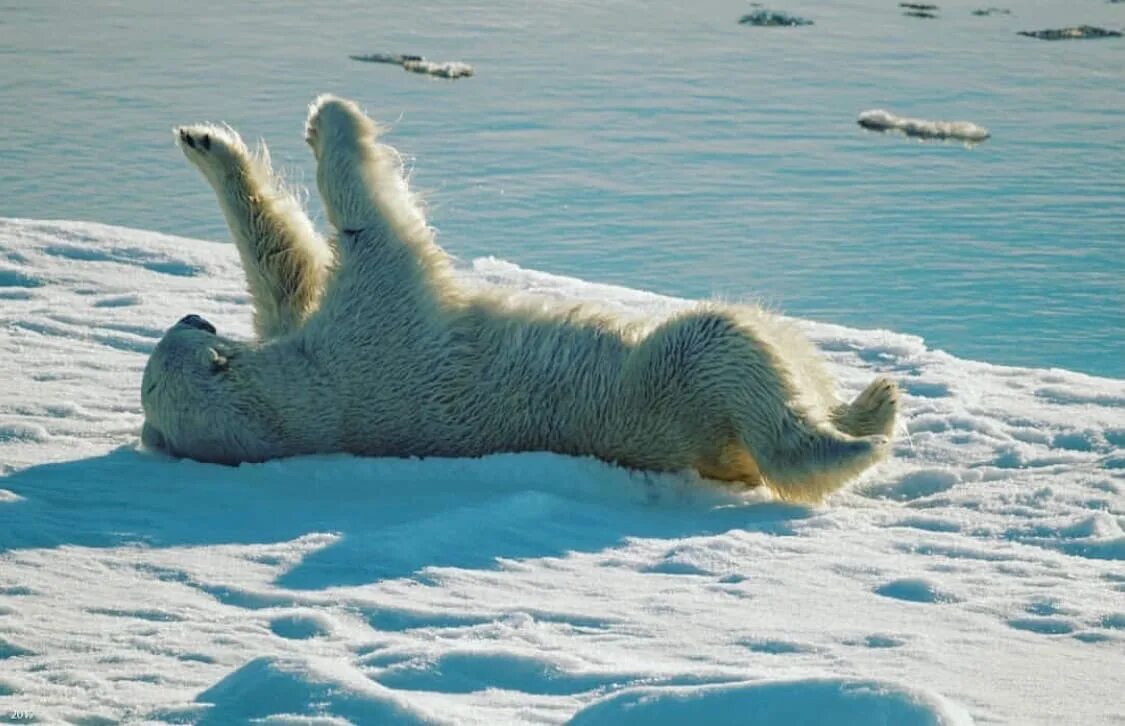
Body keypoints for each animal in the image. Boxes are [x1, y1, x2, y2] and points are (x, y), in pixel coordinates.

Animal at [140, 93, 895, 502]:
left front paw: (207, 143)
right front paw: (332, 119)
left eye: (191, 329)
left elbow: (285, 275)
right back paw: (869, 419)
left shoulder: (313, 343)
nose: (193, 312)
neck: (299, 414)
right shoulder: (367, 342)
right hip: (671, 394)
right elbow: (371, 232)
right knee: (731, 356)